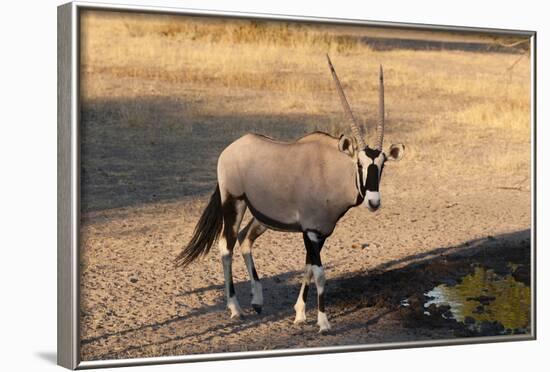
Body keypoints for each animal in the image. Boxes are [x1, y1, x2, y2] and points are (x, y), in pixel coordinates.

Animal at [177, 54, 406, 332]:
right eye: (360, 164)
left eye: (382, 165)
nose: (374, 201)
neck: (330, 169)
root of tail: (231, 148)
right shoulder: (311, 231)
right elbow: (319, 273)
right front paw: (323, 322)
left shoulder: (321, 232)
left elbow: (307, 268)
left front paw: (299, 313)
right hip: (234, 203)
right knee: (226, 245)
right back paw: (235, 308)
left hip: (262, 217)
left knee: (245, 239)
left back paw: (257, 301)